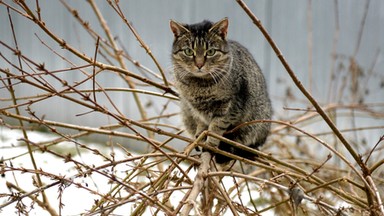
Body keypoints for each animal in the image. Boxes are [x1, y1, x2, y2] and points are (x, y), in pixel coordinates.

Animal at [170, 18, 272, 164]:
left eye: (211, 52)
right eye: (188, 51)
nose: (199, 64)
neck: (200, 86)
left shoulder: (229, 106)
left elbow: (216, 128)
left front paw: (210, 144)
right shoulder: (195, 109)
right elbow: (202, 123)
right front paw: (200, 134)